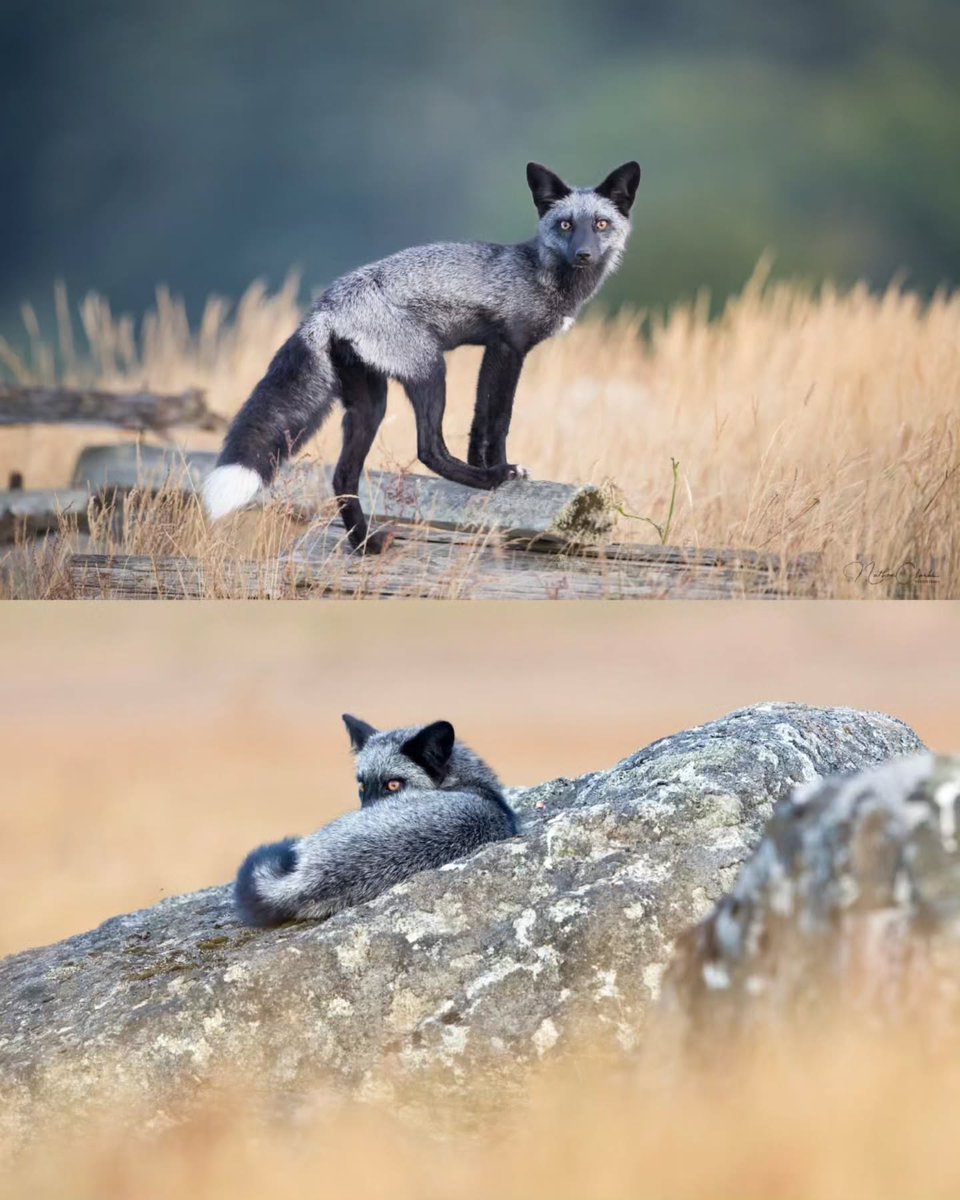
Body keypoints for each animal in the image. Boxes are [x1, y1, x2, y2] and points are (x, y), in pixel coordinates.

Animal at [202, 159, 641, 552]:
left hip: (370, 404)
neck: (540, 274)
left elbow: (480, 423)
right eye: (566, 225)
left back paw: (364, 545)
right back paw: (485, 481)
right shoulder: (507, 347)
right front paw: (499, 472)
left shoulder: (492, 351)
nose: (584, 254)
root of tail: (324, 309)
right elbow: (497, 421)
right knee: (428, 449)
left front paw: (485, 473)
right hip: (430, 370)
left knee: (343, 477)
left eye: (601, 224)